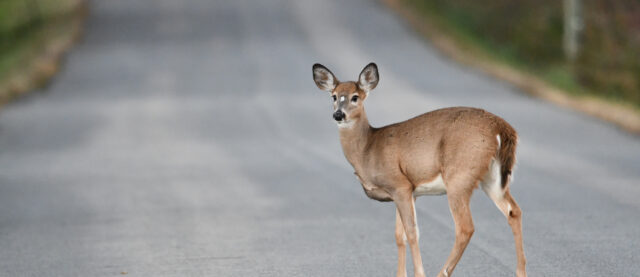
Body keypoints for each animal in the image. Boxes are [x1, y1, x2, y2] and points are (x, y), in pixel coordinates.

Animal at [312, 62, 528, 276]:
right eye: (333, 96)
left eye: (355, 97)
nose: (338, 114)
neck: (368, 149)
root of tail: (502, 127)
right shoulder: (408, 192)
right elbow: (399, 235)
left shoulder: (399, 184)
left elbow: (411, 232)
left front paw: (419, 273)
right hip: (491, 178)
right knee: (513, 211)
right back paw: (521, 271)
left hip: (460, 176)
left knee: (466, 227)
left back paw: (442, 272)